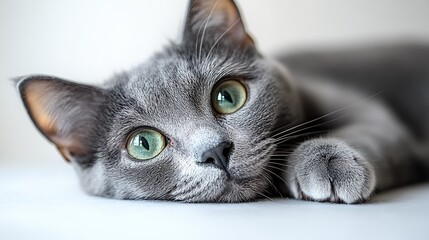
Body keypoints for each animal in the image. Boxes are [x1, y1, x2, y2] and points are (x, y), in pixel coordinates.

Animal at [15, 0, 426, 202]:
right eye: (143, 143)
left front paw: (327, 160)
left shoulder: (362, 107)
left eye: (228, 97)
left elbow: (372, 129)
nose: (215, 151)